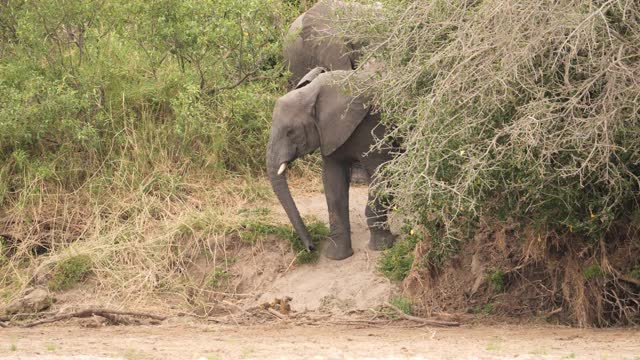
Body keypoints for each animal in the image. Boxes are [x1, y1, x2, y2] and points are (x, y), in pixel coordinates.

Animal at [264, 67, 396, 258]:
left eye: (290, 132)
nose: (311, 248)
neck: (312, 93)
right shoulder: (327, 133)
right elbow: (333, 182)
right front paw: (337, 257)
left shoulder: (374, 125)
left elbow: (382, 171)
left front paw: (382, 247)